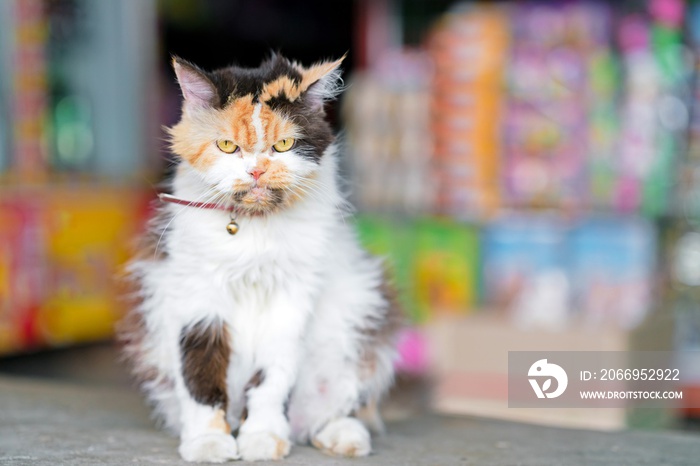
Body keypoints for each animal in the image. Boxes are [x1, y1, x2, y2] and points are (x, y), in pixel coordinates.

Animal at [119, 53, 402, 462]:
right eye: (226, 145)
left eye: (283, 144)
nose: (256, 170)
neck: (252, 230)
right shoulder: (197, 299)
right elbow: (199, 375)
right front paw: (208, 442)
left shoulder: (290, 301)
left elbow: (271, 379)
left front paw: (263, 438)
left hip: (361, 313)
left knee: (330, 408)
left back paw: (343, 436)